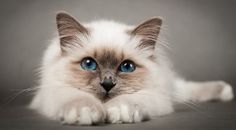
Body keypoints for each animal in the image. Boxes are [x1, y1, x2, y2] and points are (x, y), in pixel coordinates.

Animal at [30, 11, 234, 125]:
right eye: (89, 64)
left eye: (127, 67)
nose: (107, 84)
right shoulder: (53, 91)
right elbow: (77, 98)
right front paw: (83, 113)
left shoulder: (154, 95)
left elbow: (129, 100)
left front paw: (120, 113)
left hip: (166, 89)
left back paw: (225, 91)